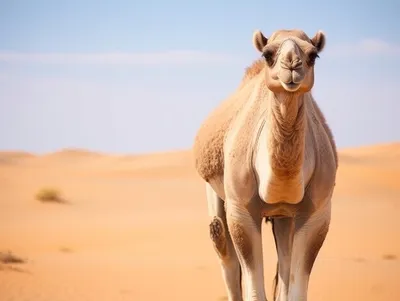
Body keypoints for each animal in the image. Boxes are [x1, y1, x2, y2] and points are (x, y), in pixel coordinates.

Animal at [193, 28, 338, 300]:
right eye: (267, 54)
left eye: (313, 55)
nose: (291, 64)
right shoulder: (240, 209)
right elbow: (253, 289)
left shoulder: (318, 213)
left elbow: (295, 288)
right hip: (214, 188)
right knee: (222, 243)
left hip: (284, 216)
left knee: (284, 258)